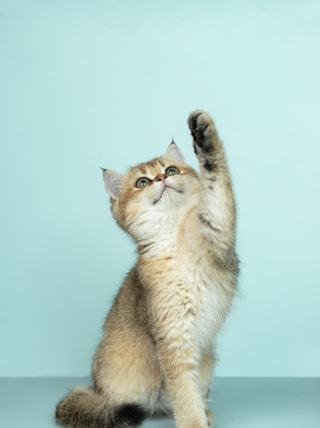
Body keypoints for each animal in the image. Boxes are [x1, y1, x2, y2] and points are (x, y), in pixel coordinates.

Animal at [56, 110, 239, 428]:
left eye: (172, 170)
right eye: (142, 182)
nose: (162, 178)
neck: (175, 237)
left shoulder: (218, 230)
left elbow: (216, 181)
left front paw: (203, 132)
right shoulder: (172, 336)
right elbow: (184, 392)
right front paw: (193, 423)